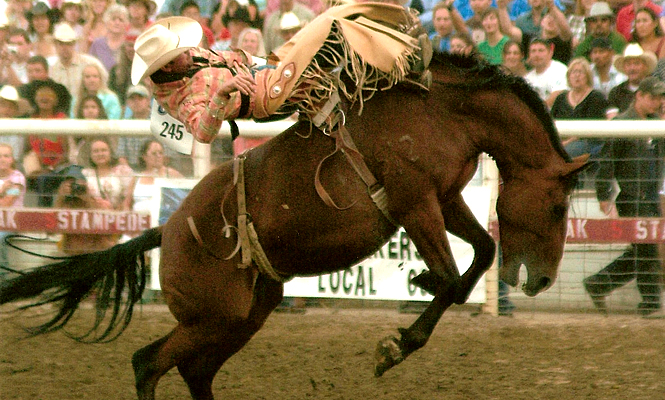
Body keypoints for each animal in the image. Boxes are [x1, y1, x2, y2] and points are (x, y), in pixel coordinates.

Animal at [0, 51, 584, 398]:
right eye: (559, 207)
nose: (543, 281)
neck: (443, 110)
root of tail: (167, 230)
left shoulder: (445, 197)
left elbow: (480, 254)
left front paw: (407, 320)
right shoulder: (415, 203)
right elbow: (449, 279)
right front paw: (395, 342)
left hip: (244, 313)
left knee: (190, 369)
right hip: (214, 316)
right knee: (148, 363)